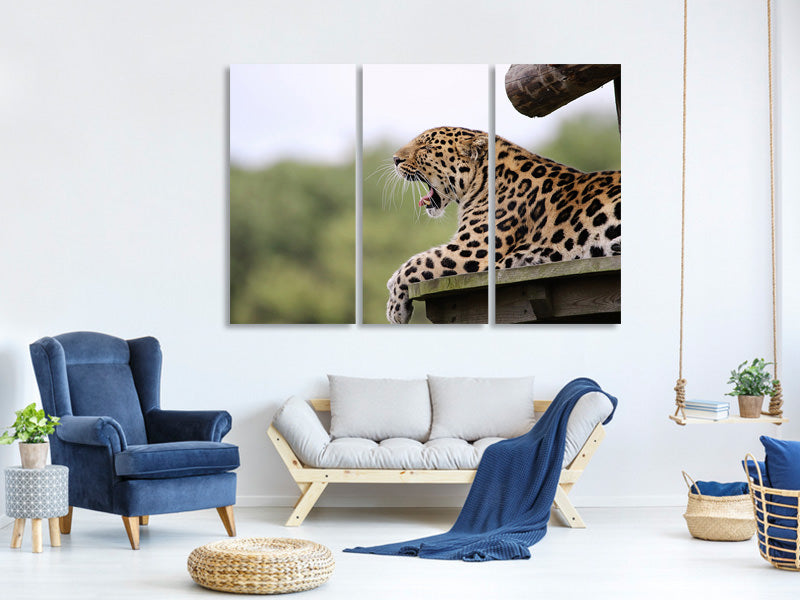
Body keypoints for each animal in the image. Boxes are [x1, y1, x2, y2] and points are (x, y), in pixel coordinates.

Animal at [385, 125, 621, 324]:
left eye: (426, 147)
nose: (395, 159)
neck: (482, 180)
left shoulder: (471, 250)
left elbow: (416, 262)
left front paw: (394, 307)